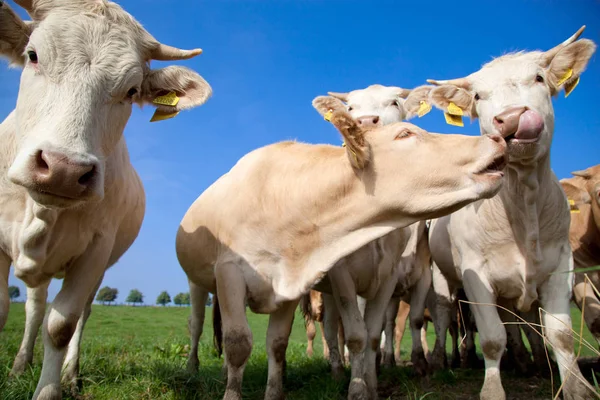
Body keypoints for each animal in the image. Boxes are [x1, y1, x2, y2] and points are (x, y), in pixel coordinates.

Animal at [0, 1, 212, 398]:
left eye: (131, 90)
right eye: (32, 55)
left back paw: (70, 374)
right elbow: (6, 309)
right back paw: (20, 366)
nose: (64, 169)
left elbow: (62, 325)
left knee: (78, 313)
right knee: (34, 306)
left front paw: (51, 387)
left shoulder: (96, 250)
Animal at [175, 104, 506, 400]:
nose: (496, 137)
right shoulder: (230, 272)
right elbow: (238, 343)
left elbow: (281, 343)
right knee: (196, 324)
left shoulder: (294, 284)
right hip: (197, 282)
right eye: (405, 134)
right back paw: (193, 369)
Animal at [422, 26, 596, 398]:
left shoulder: (560, 265)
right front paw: (492, 389)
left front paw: (576, 386)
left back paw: (526, 361)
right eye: (478, 97)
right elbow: (490, 338)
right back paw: (441, 361)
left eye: (539, 78)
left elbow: (560, 334)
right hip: (443, 275)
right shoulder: (475, 273)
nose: (513, 117)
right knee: (445, 313)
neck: (522, 205)